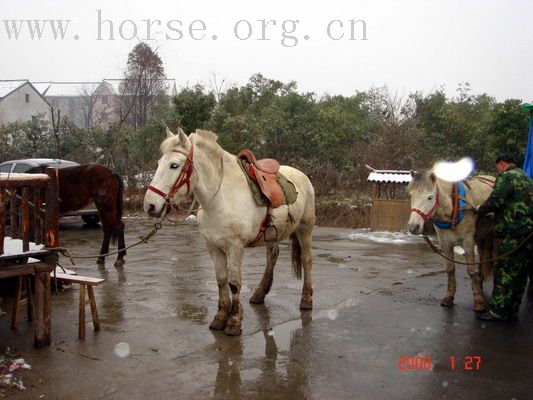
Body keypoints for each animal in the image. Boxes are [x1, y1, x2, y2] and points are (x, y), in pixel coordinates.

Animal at [143, 128, 314, 334]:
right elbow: (221, 280)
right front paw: (220, 317)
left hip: (305, 229)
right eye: (159, 163)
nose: (150, 205)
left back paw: (306, 300)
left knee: (307, 261)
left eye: (174, 165)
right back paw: (259, 294)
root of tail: (302, 175)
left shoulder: (235, 247)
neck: (220, 198)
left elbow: (234, 283)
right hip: (271, 235)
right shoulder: (213, 247)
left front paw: (233, 321)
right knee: (272, 256)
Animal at [408, 170, 494, 312]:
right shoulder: (445, 243)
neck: (453, 211)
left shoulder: (468, 242)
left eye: (430, 197)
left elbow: (471, 271)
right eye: (411, 195)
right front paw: (449, 297)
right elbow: (449, 269)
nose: (413, 227)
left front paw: (479, 302)